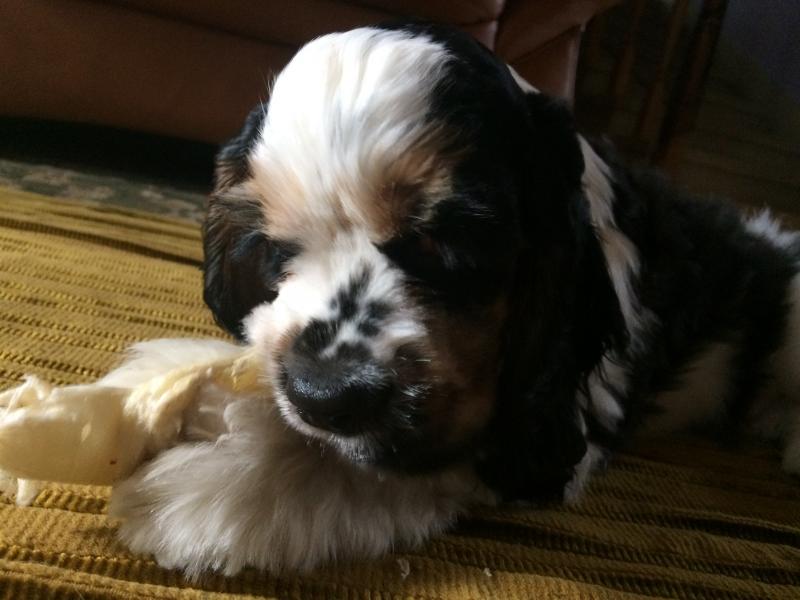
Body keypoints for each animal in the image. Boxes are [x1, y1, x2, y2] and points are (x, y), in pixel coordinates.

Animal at [109, 21, 800, 577]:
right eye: (277, 248)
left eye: (451, 241)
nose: (323, 395)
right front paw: (165, 384)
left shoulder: (555, 416)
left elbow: (399, 455)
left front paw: (216, 482)